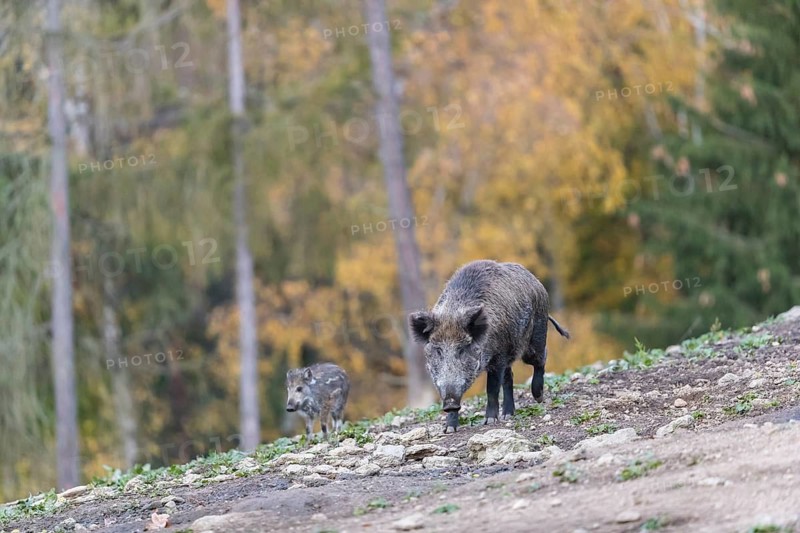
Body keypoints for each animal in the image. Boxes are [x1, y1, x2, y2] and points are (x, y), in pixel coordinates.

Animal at [408, 260, 570, 433]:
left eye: (462, 349)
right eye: (438, 350)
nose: (450, 403)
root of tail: (536, 281)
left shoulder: (497, 357)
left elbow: (491, 389)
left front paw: (489, 421)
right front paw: (449, 430)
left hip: (535, 337)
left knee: (541, 358)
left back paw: (538, 397)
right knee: (509, 377)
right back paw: (507, 415)